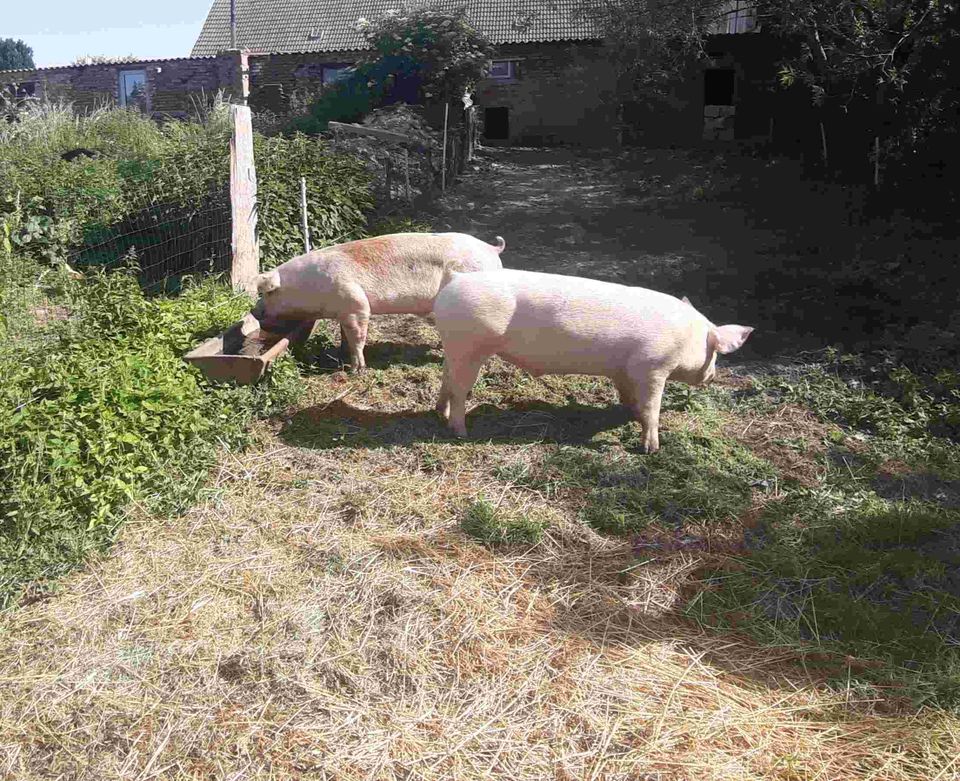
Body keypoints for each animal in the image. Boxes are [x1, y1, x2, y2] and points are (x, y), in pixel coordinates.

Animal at [251, 230, 506, 370]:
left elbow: (358, 336)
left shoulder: (356, 303)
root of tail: (491, 249)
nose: (254, 313)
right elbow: (345, 335)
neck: (310, 287)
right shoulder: (344, 311)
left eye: (268, 293)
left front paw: (356, 369)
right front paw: (342, 357)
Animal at [432, 268, 752, 450]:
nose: (712, 376)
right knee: (460, 390)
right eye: (715, 351)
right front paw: (651, 449)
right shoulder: (652, 367)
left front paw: (629, 413)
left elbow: (629, 397)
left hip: (455, 347)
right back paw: (461, 432)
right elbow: (652, 407)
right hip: (470, 347)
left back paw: (442, 416)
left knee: (446, 380)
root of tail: (456, 280)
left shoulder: (624, 371)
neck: (686, 338)